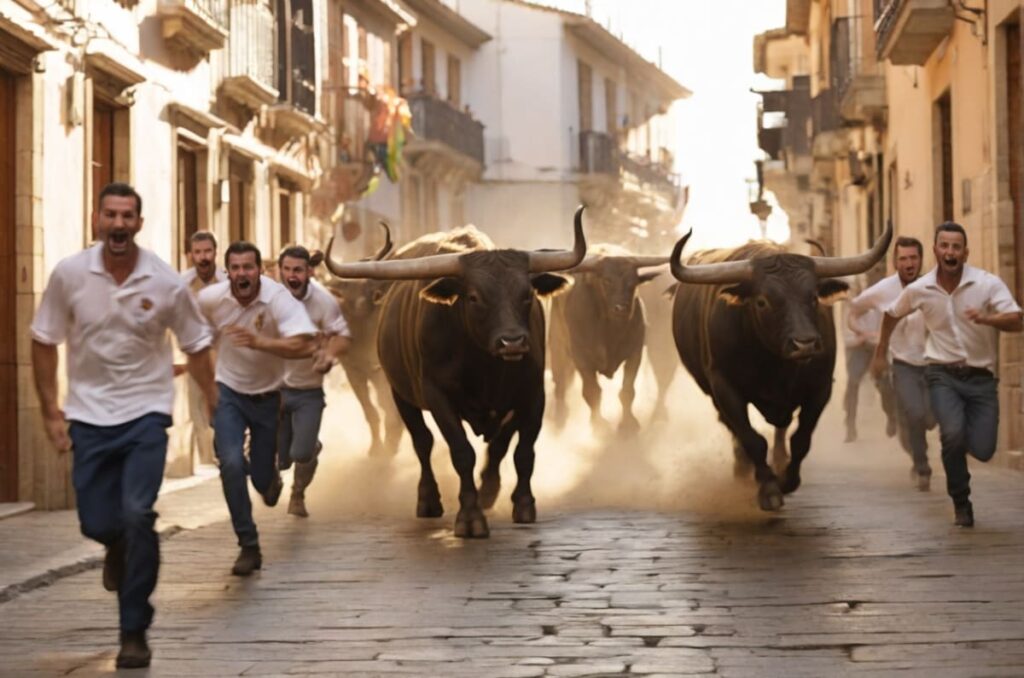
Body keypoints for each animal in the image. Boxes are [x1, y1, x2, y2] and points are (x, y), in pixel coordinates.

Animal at [325, 207, 587, 538]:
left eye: (527, 294)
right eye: (474, 297)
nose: (512, 341)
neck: (487, 366)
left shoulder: (532, 395)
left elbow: (520, 451)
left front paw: (519, 503)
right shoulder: (438, 397)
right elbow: (462, 453)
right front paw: (470, 517)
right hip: (401, 396)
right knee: (422, 443)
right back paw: (428, 500)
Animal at [548, 245, 667, 433]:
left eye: (633, 282)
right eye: (606, 281)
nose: (621, 308)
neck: (610, 331)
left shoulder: (635, 353)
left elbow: (627, 391)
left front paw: (628, 424)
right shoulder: (581, 358)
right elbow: (592, 392)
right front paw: (599, 425)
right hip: (557, 346)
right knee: (559, 384)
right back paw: (559, 419)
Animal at [669, 224, 892, 511]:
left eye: (813, 297)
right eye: (762, 301)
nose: (805, 344)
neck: (776, 366)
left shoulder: (820, 389)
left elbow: (801, 440)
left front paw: (787, 479)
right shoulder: (725, 389)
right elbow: (752, 439)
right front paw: (769, 489)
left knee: (781, 428)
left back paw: (778, 460)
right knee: (735, 429)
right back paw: (743, 468)